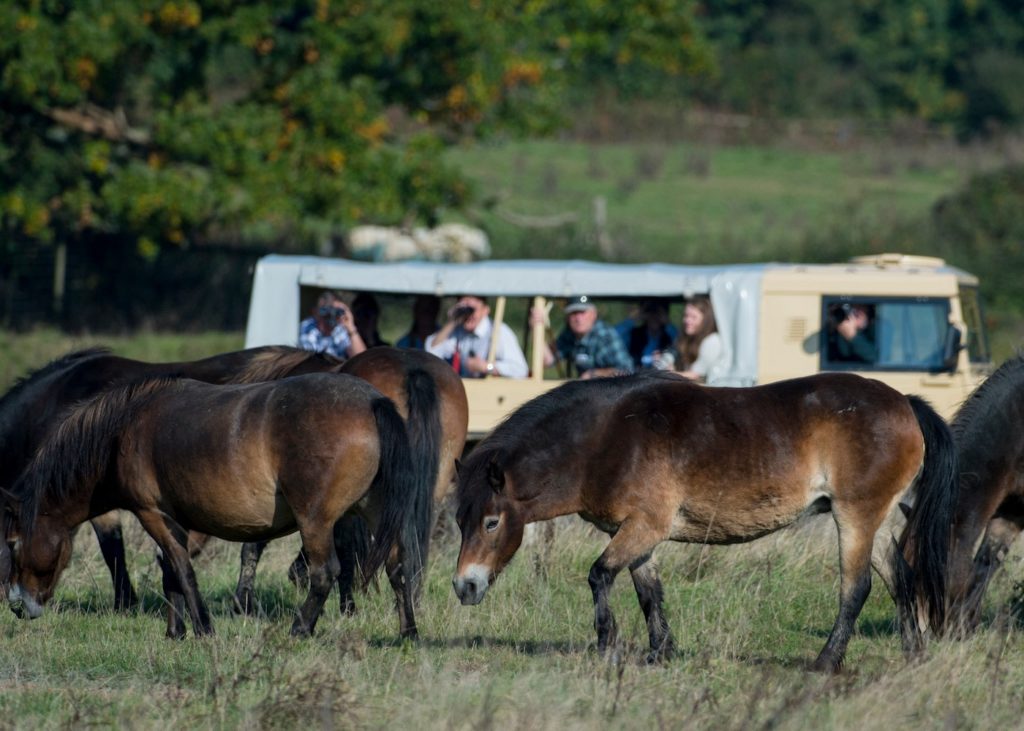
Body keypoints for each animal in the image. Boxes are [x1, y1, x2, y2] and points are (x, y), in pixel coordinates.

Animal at [452, 370, 954, 671]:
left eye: (491, 522)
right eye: (459, 522)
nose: (464, 587)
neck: (605, 438)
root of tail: (904, 403)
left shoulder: (645, 527)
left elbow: (599, 576)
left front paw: (607, 646)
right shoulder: (638, 534)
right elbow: (649, 593)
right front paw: (660, 653)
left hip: (854, 517)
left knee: (856, 589)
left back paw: (826, 662)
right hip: (879, 522)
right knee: (901, 580)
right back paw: (914, 655)